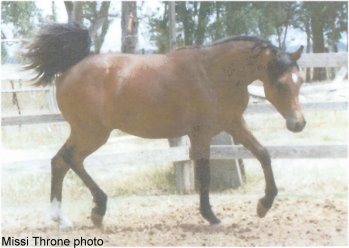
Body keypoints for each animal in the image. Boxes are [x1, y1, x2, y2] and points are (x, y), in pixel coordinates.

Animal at [23, 23, 304, 229]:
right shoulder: (201, 134)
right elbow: (204, 173)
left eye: (299, 81)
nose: (298, 124)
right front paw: (210, 216)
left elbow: (263, 154)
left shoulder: (234, 123)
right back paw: (98, 209)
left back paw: (62, 219)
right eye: (280, 84)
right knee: (71, 159)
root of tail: (69, 69)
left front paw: (263, 205)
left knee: (59, 162)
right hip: (93, 133)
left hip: (84, 132)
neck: (214, 74)